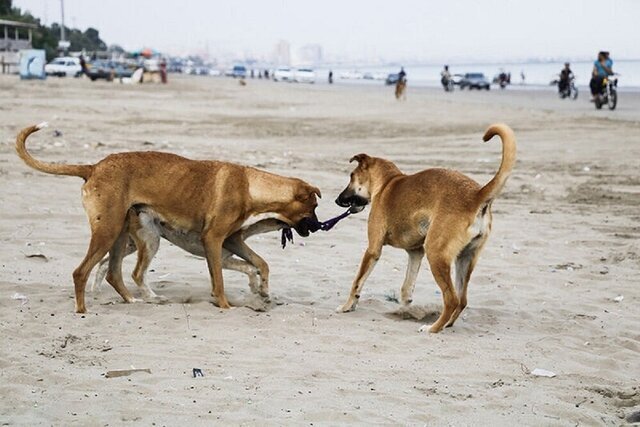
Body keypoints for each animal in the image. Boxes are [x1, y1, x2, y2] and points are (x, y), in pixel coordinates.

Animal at [16, 123, 320, 314]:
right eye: (314, 206)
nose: (319, 227)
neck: (250, 185)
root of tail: (93, 167)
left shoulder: (231, 241)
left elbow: (259, 264)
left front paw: (262, 290)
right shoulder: (214, 241)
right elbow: (220, 280)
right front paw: (224, 304)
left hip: (123, 236)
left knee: (113, 272)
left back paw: (133, 300)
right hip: (114, 232)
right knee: (86, 271)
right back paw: (83, 308)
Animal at [336, 123, 516, 334]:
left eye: (351, 176)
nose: (337, 200)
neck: (388, 181)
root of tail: (476, 195)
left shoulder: (373, 249)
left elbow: (357, 282)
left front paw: (347, 306)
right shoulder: (415, 253)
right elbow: (406, 289)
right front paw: (404, 309)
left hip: (436, 254)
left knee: (452, 299)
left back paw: (433, 328)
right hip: (464, 259)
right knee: (462, 300)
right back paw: (446, 324)